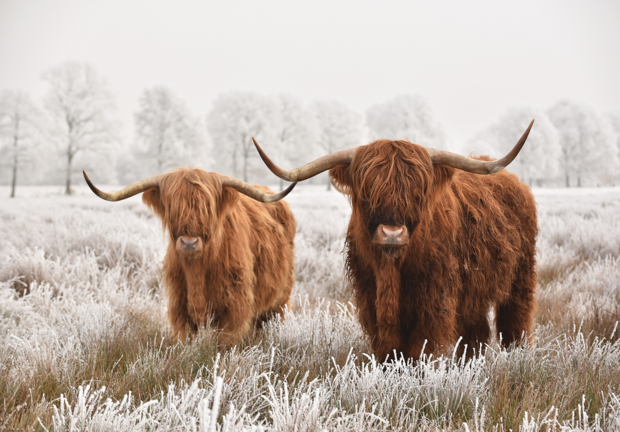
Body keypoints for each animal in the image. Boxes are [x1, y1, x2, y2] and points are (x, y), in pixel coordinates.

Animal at [83, 169, 296, 344]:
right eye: (172, 207)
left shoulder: (235, 306)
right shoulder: (179, 305)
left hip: (281, 298)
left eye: (207, 208)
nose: (189, 243)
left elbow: (225, 344)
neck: (197, 269)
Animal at [252, 121, 536, 362]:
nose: (391, 233)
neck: (391, 269)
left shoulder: (434, 300)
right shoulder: (369, 297)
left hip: (520, 278)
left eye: (418, 192)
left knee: (515, 321)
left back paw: (516, 357)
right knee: (476, 332)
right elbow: (388, 349)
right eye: (366, 192)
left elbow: (419, 349)